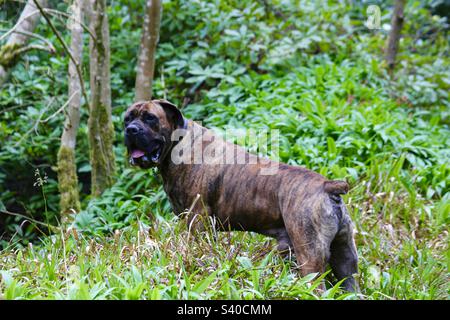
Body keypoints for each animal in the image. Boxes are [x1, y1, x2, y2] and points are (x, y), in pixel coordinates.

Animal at [123, 99, 358, 292]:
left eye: (150, 118)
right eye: (127, 119)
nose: (130, 130)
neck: (178, 143)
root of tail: (327, 187)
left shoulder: (197, 221)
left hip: (309, 258)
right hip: (345, 257)